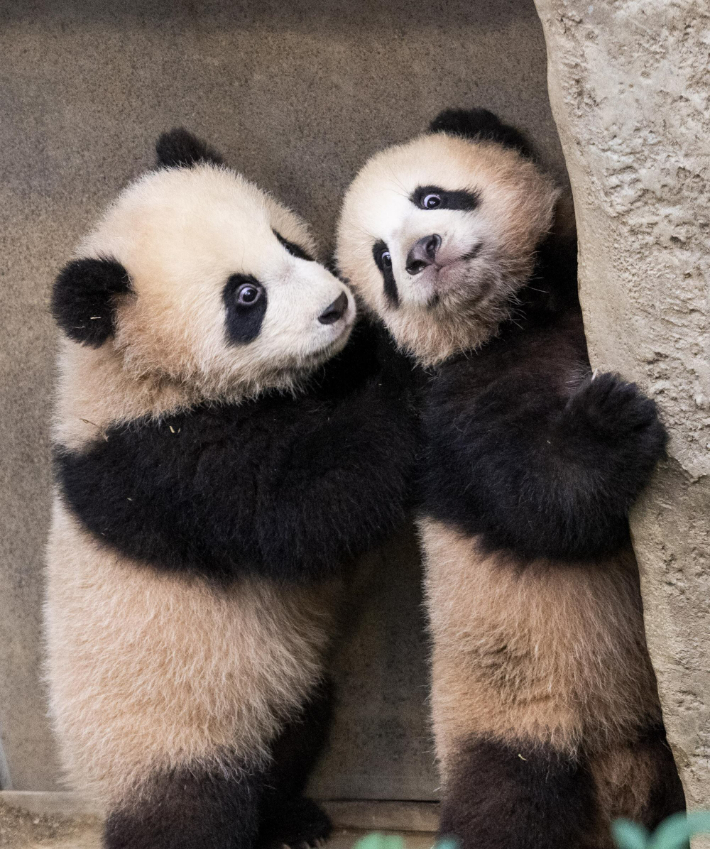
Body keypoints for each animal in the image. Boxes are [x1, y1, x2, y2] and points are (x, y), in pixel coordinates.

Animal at [47, 127, 418, 848]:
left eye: (287, 242)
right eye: (246, 297)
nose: (336, 306)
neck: (129, 371)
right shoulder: (161, 463)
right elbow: (302, 506)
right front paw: (412, 387)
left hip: (281, 684)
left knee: (296, 733)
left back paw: (291, 818)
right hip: (163, 734)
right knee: (190, 809)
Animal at [340, 111, 688, 848]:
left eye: (433, 196)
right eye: (381, 258)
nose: (422, 252)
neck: (509, 317)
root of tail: (614, 790)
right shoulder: (450, 415)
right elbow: (538, 501)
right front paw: (612, 417)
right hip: (515, 724)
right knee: (509, 806)